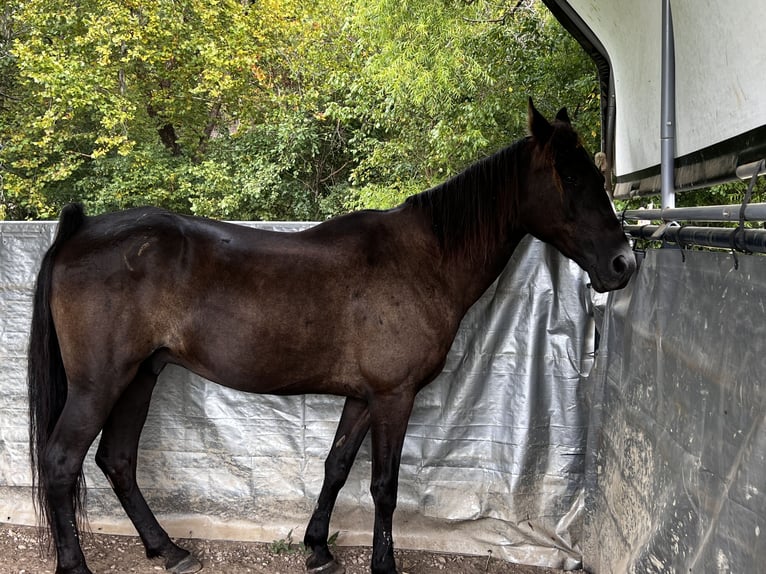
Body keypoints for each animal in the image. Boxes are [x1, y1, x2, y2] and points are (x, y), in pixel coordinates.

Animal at [27, 99, 635, 574]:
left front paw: (317, 547)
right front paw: (384, 563)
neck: (422, 259)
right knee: (61, 461)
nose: (623, 264)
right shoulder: (394, 396)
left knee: (117, 461)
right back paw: (76, 564)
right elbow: (384, 485)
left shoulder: (363, 397)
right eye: (570, 179)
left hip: (140, 376)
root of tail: (79, 231)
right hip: (99, 384)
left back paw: (168, 549)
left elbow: (337, 466)